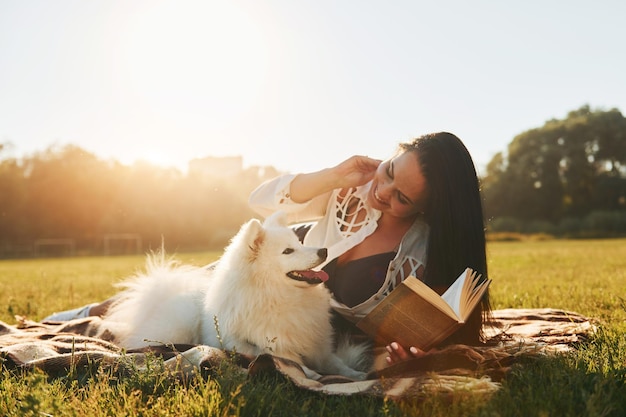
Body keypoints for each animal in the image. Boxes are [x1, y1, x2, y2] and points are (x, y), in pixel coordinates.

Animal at [100, 213, 368, 378]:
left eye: (300, 243)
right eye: (288, 251)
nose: (324, 250)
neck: (278, 295)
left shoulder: (318, 345)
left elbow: (335, 363)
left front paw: (357, 374)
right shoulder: (255, 345)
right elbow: (291, 361)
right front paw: (311, 374)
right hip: (177, 328)